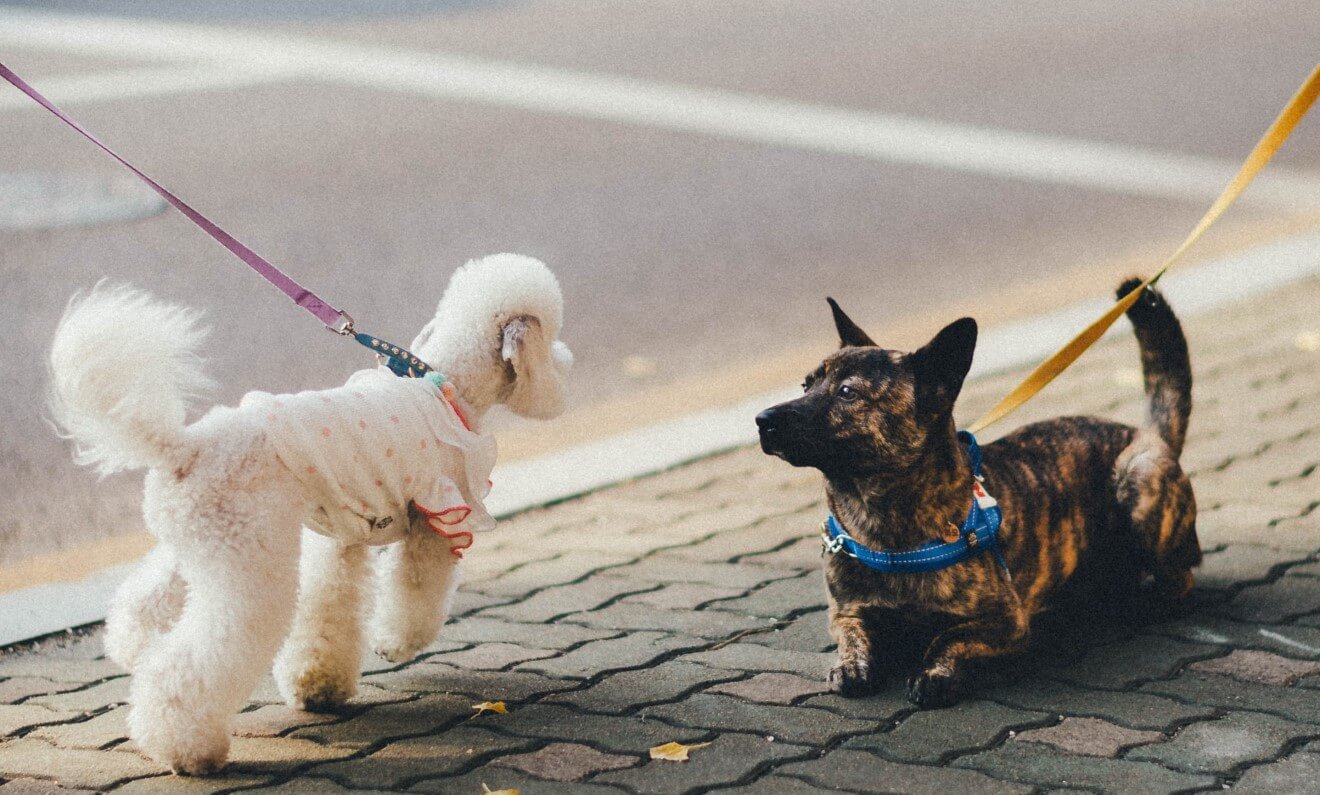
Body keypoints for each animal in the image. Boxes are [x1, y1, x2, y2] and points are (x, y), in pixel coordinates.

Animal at [755, 279, 1198, 707]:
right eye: (806, 384)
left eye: (847, 392)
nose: (762, 419)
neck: (882, 522)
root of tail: (1149, 434)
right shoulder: (846, 613)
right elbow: (852, 635)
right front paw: (850, 665)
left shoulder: (1007, 620)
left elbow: (948, 636)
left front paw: (935, 673)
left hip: (1139, 484)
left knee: (1181, 577)